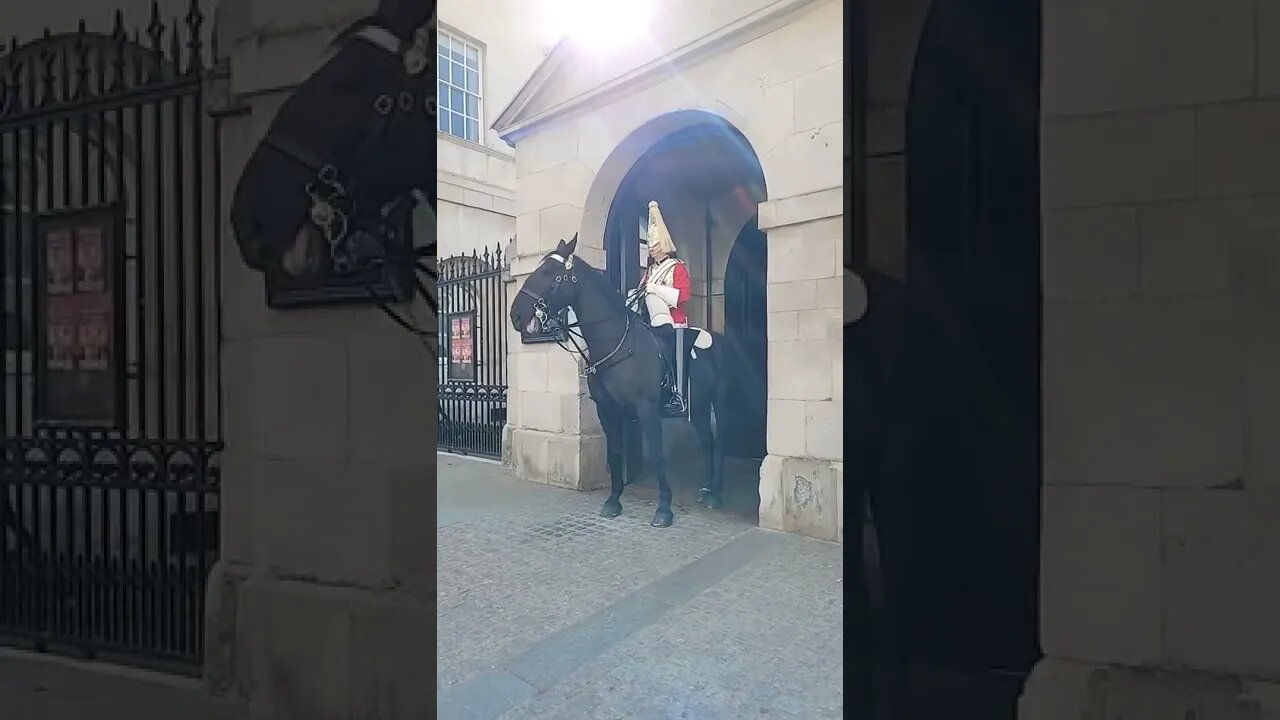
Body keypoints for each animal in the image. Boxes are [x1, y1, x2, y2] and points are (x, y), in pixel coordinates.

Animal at [509, 235, 732, 527]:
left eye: (550, 274)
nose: (516, 315)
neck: (617, 344)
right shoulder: (607, 410)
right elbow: (614, 452)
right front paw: (613, 501)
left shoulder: (646, 409)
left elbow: (658, 454)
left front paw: (664, 508)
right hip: (699, 407)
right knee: (708, 441)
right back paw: (708, 489)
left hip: (715, 402)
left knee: (718, 442)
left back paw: (716, 494)